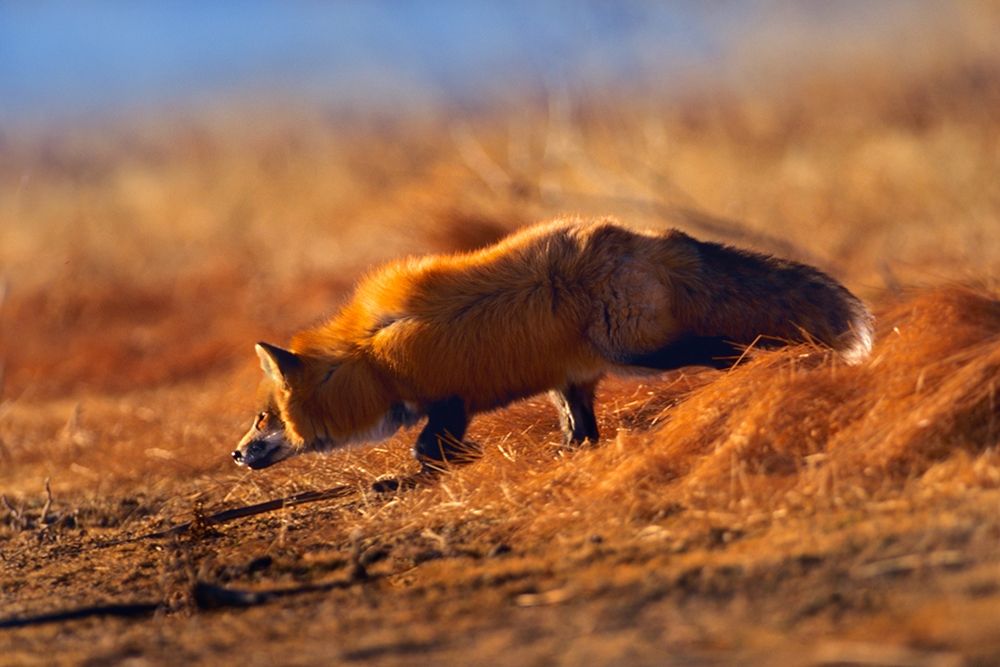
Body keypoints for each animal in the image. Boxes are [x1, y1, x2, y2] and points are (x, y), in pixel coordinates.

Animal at [233, 217, 873, 475]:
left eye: (263, 418)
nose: (236, 455)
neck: (370, 361)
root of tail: (653, 238)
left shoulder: (451, 401)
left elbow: (425, 451)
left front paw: (421, 477)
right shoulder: (464, 402)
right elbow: (431, 451)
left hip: (640, 354)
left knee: (727, 350)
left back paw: (755, 376)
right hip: (572, 379)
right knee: (582, 432)